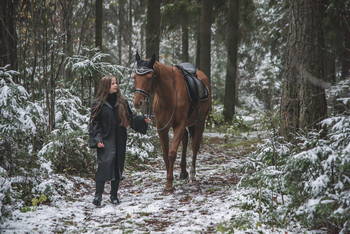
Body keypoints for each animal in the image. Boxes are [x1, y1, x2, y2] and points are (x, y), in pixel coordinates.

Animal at [133, 52, 211, 191]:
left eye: (149, 77)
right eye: (134, 77)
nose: (138, 102)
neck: (169, 95)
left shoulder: (179, 125)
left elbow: (172, 153)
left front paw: (169, 183)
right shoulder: (162, 127)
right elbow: (165, 154)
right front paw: (170, 178)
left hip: (200, 122)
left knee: (194, 145)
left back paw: (192, 175)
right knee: (185, 140)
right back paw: (183, 172)